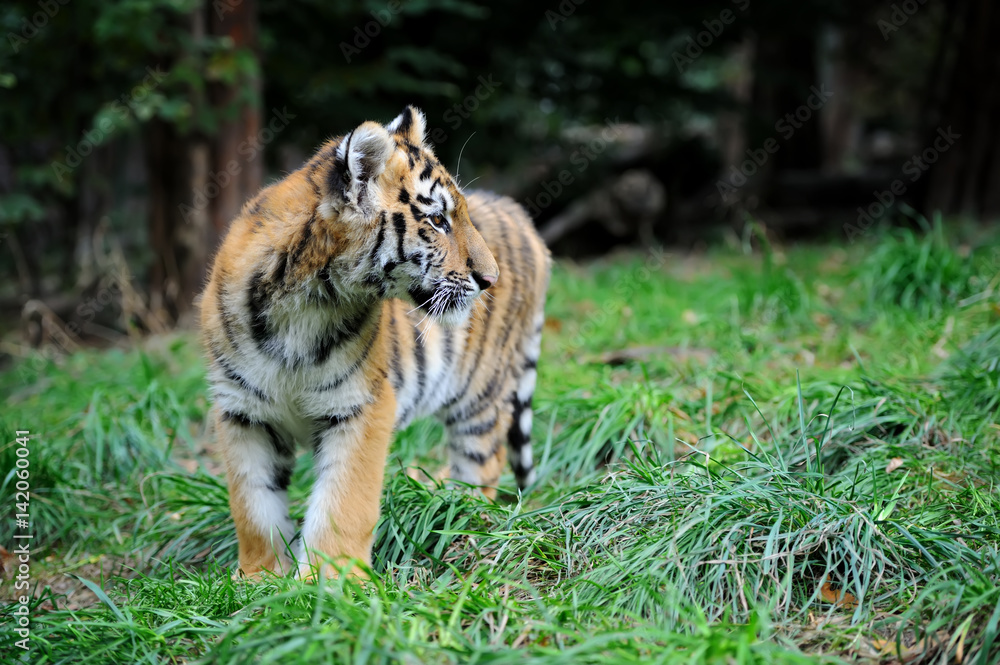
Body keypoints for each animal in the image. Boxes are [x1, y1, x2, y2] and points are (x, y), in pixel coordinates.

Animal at [198, 106, 550, 579]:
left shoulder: (362, 406)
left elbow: (344, 504)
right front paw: (261, 578)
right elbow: (253, 504)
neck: (303, 302)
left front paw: (329, 581)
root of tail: (523, 219)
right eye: (437, 220)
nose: (490, 279)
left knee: (481, 466)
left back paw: (461, 518)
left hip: (480, 396)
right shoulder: (242, 412)